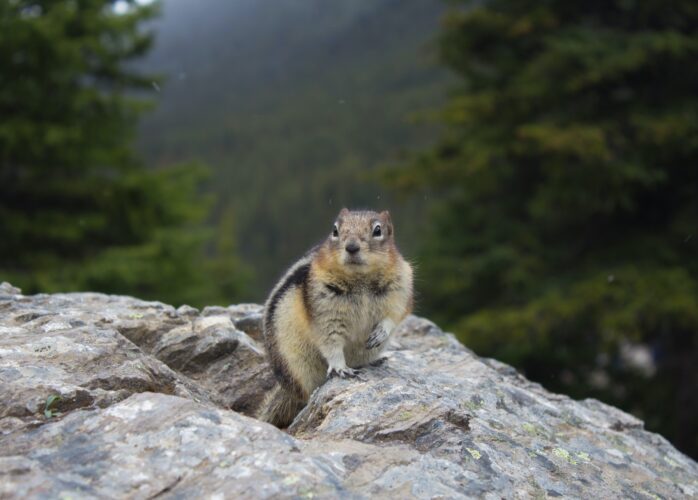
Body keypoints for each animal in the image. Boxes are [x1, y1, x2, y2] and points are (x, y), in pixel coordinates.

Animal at [257, 208, 413, 428]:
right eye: (335, 230)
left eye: (377, 230)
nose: (352, 247)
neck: (361, 279)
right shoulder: (325, 312)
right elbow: (330, 342)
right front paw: (340, 368)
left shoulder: (401, 288)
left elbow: (393, 316)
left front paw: (380, 333)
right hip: (297, 365)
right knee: (306, 393)